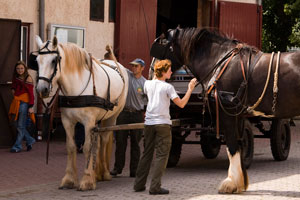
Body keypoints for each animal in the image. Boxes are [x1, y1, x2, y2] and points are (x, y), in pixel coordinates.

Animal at [35, 36, 129, 191]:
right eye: (37, 61)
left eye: (54, 60)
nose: (41, 89)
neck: (76, 87)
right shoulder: (67, 121)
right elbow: (71, 147)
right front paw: (69, 179)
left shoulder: (88, 122)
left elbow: (86, 148)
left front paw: (87, 180)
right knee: (98, 144)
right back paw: (97, 174)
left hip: (112, 117)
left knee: (104, 141)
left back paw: (104, 173)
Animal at [151, 27, 300, 193]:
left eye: (162, 45)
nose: (153, 71)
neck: (219, 62)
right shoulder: (238, 114)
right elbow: (240, 144)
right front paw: (241, 182)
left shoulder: (227, 111)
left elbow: (232, 146)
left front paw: (231, 183)